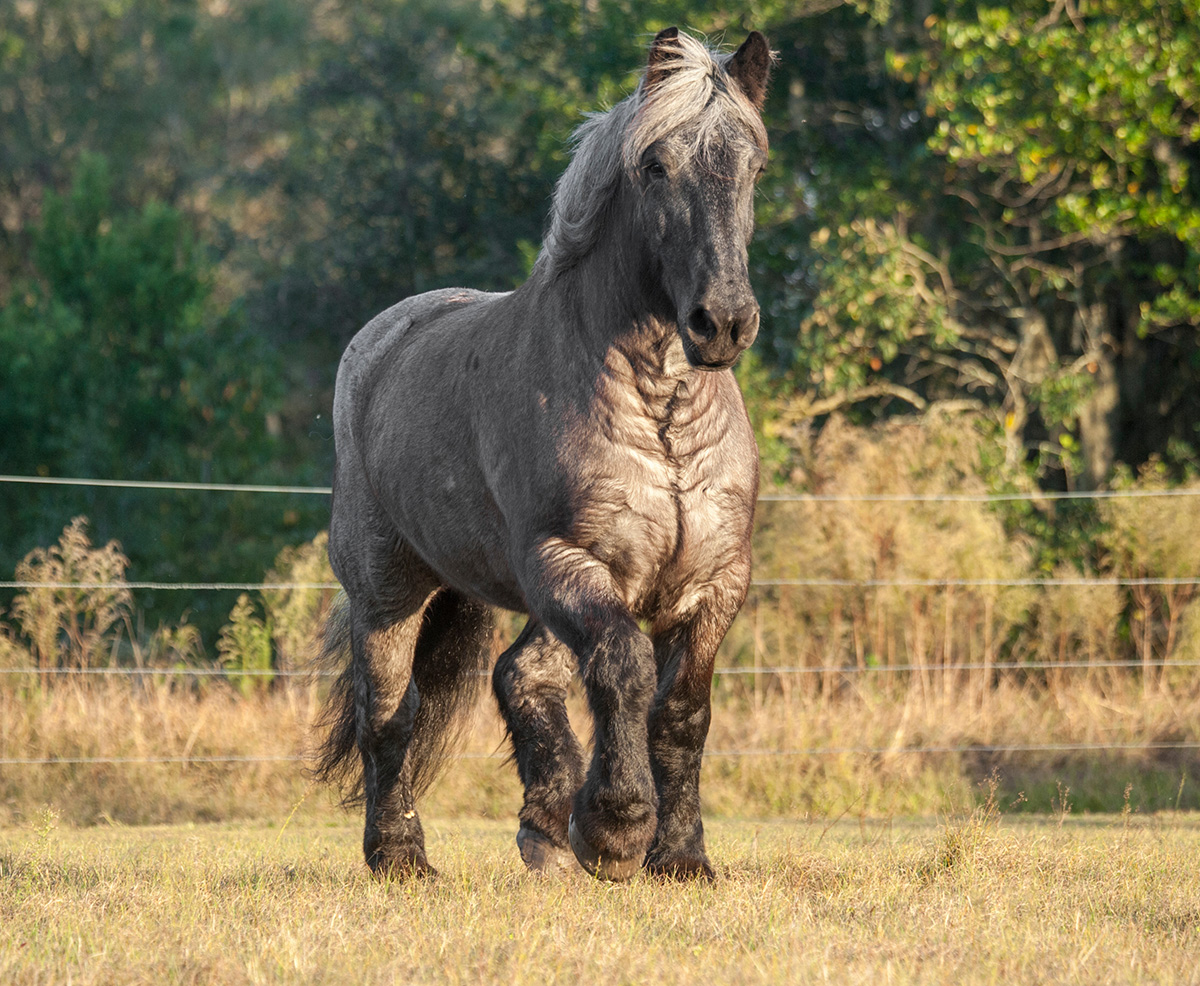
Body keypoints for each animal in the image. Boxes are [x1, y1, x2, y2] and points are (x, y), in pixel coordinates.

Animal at [314, 26, 772, 882]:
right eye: (656, 166)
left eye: (755, 166)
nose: (721, 322)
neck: (659, 413)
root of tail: (378, 343)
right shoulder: (569, 563)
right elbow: (624, 671)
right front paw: (616, 829)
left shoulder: (714, 582)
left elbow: (682, 712)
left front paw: (680, 856)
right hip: (388, 590)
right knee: (390, 713)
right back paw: (402, 856)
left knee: (521, 676)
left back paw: (542, 836)